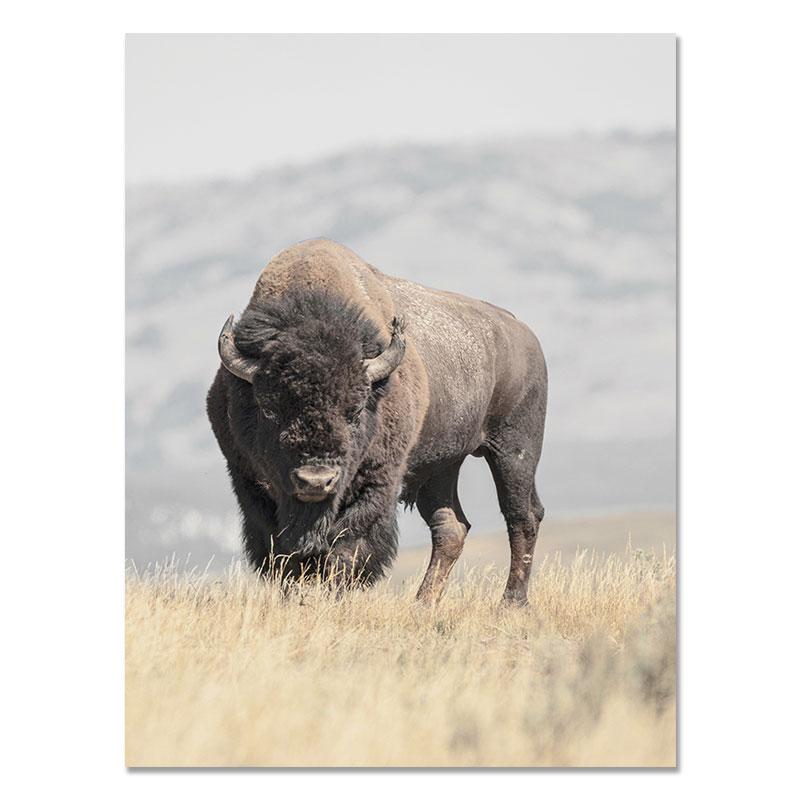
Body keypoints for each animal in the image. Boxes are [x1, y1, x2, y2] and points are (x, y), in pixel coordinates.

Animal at [206, 239, 547, 604]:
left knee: (521, 516)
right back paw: (423, 603)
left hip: (514, 451)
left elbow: (347, 546)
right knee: (450, 527)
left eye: (355, 410)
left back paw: (511, 602)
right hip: (441, 467)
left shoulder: (377, 482)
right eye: (269, 409)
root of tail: (523, 333)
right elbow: (281, 553)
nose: (316, 480)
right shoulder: (249, 481)